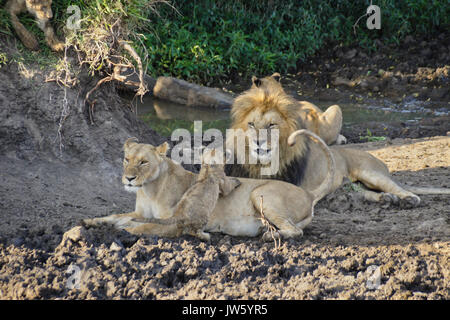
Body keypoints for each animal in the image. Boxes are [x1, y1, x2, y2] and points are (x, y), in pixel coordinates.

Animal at [81, 129, 334, 239]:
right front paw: (90, 222)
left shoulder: (174, 222)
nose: (129, 178)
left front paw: (125, 230)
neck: (148, 190)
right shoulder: (138, 212)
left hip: (261, 193)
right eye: (127, 159)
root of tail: (309, 194)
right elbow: (115, 216)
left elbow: (143, 227)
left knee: (295, 231)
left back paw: (271, 236)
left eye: (143, 162)